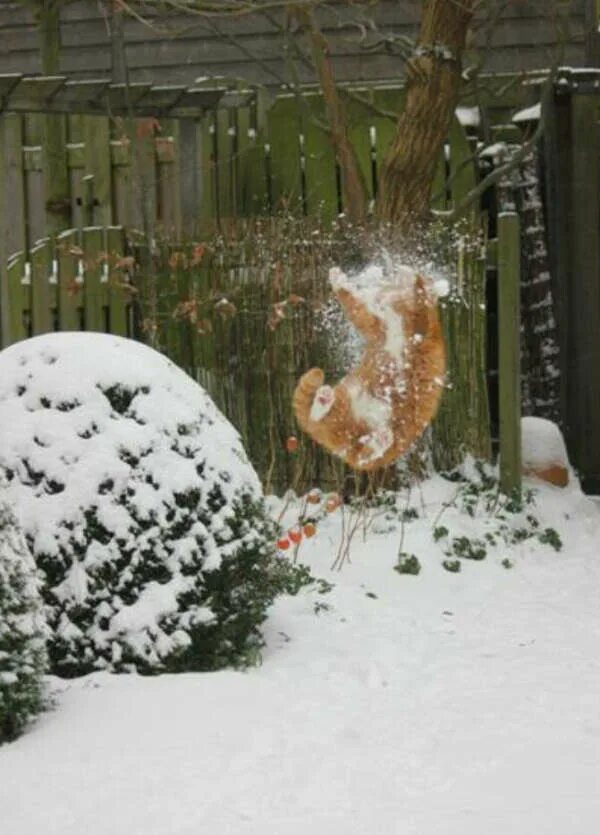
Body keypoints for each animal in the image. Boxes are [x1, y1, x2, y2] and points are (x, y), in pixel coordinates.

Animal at [290, 272, 446, 474]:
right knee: (327, 424)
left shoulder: (419, 328)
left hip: (387, 441)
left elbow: (420, 303)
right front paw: (339, 278)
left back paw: (379, 438)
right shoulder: (375, 326)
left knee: (363, 454)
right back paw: (325, 400)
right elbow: (355, 304)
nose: (384, 291)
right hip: (347, 399)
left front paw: (418, 283)